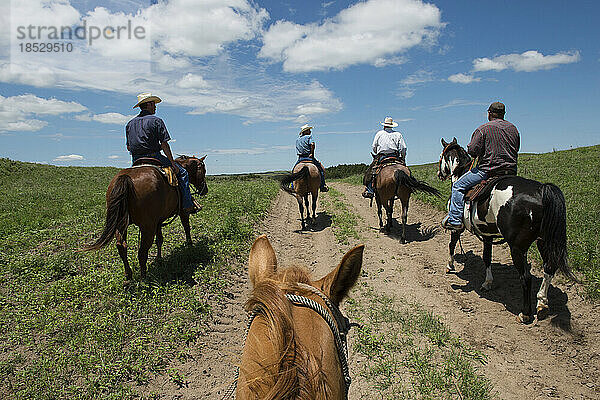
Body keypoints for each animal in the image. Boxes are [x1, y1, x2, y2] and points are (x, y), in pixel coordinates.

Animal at [436, 137, 576, 322]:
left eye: (441, 156)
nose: (440, 174)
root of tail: (542, 191)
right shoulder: (487, 233)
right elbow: (486, 257)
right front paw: (487, 282)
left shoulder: (457, 228)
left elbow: (451, 245)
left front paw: (450, 266)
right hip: (543, 241)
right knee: (549, 269)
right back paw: (542, 304)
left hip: (517, 247)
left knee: (526, 277)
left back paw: (525, 314)